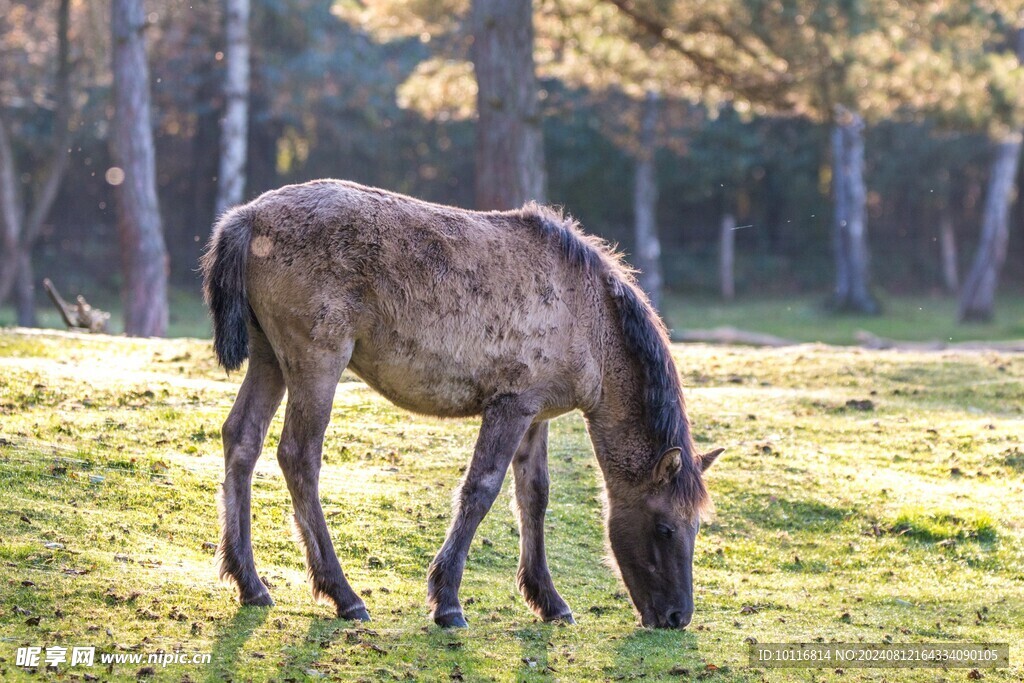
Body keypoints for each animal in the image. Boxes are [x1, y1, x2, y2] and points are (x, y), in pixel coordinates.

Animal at [199, 179, 724, 626]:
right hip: (316, 362)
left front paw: (548, 600)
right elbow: (480, 491)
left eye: (697, 528)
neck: (586, 315)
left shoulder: (536, 414)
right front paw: (447, 600)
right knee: (298, 456)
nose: (677, 617)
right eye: (665, 528)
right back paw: (343, 594)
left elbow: (534, 497)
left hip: (269, 357)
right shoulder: (510, 406)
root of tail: (247, 217)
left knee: (242, 440)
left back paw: (251, 584)